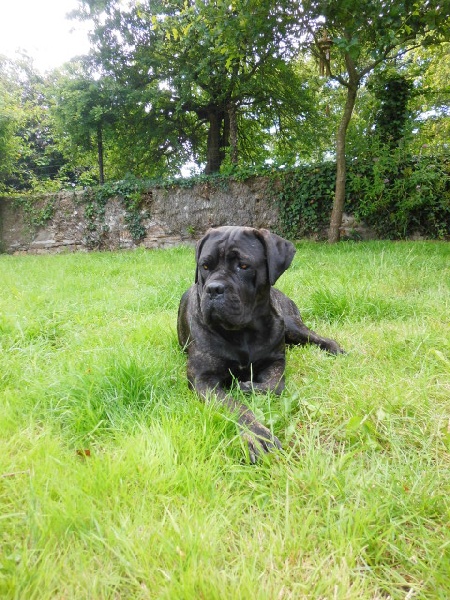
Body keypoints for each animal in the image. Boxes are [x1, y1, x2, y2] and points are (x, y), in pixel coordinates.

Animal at [178, 227, 342, 462]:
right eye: (205, 266)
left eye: (244, 266)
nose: (214, 289)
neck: (243, 333)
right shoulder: (203, 379)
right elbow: (235, 406)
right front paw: (257, 436)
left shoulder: (275, 361)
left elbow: (276, 386)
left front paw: (246, 387)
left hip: (290, 324)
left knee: (316, 337)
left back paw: (336, 349)